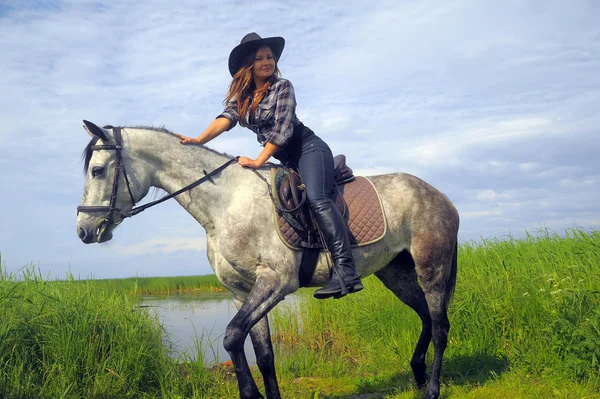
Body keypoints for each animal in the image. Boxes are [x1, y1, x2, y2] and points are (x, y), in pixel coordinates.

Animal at [75, 121, 460, 399]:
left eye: (97, 170)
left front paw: (251, 394)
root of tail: (441, 196)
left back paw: (431, 389)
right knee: (426, 318)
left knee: (441, 326)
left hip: (432, 269)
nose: (83, 229)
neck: (226, 202)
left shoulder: (276, 282)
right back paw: (417, 373)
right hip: (395, 274)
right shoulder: (242, 292)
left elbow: (232, 337)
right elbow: (264, 355)